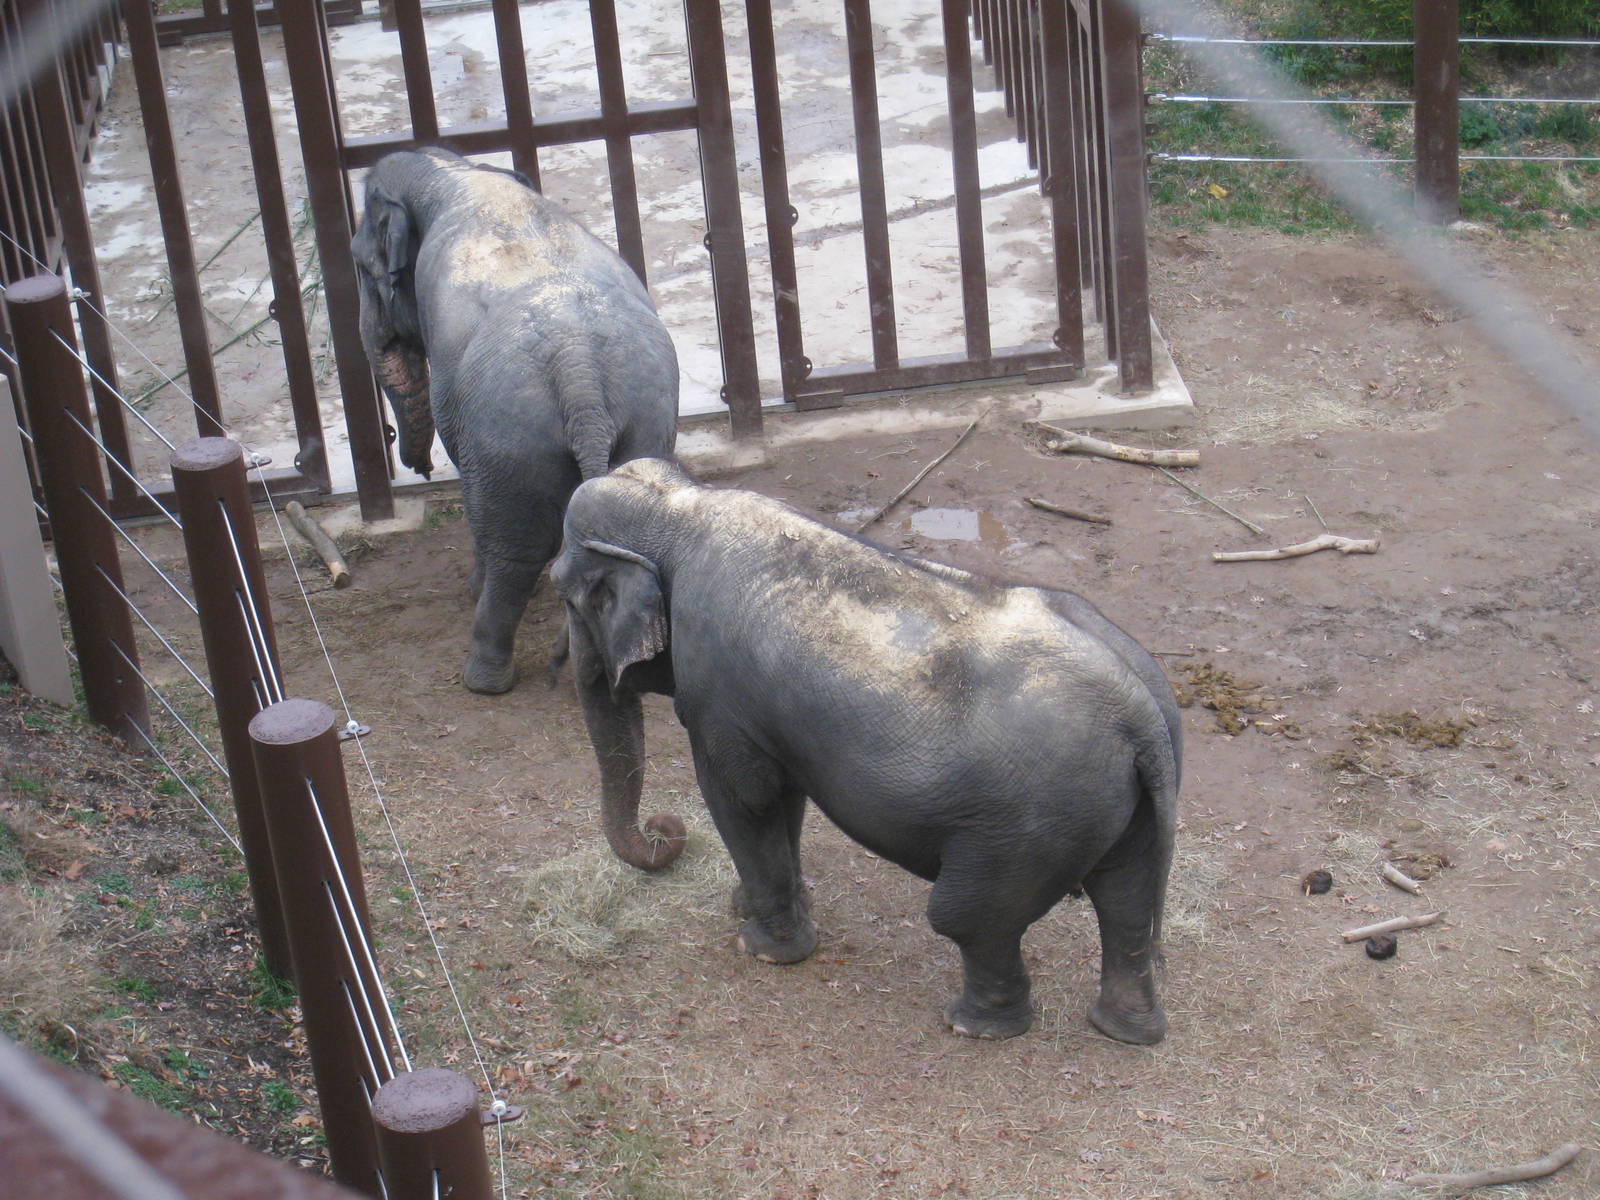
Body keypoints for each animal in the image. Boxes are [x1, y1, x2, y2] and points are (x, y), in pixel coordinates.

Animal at [350, 147, 678, 694]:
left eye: (359, 264)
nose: (420, 468)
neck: (450, 173)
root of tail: (579, 369)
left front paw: (471, 588)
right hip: (645, 416)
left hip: (510, 436)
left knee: (512, 549)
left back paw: (483, 678)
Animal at [551, 458, 1182, 1042]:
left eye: (567, 595)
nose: (664, 829)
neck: (680, 505)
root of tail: (1138, 709)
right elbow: (785, 798)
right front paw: (755, 908)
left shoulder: (718, 693)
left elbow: (745, 797)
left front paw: (764, 948)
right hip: (1123, 801)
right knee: (1127, 900)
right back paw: (1124, 1030)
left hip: (1026, 825)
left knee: (970, 919)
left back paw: (972, 1025)